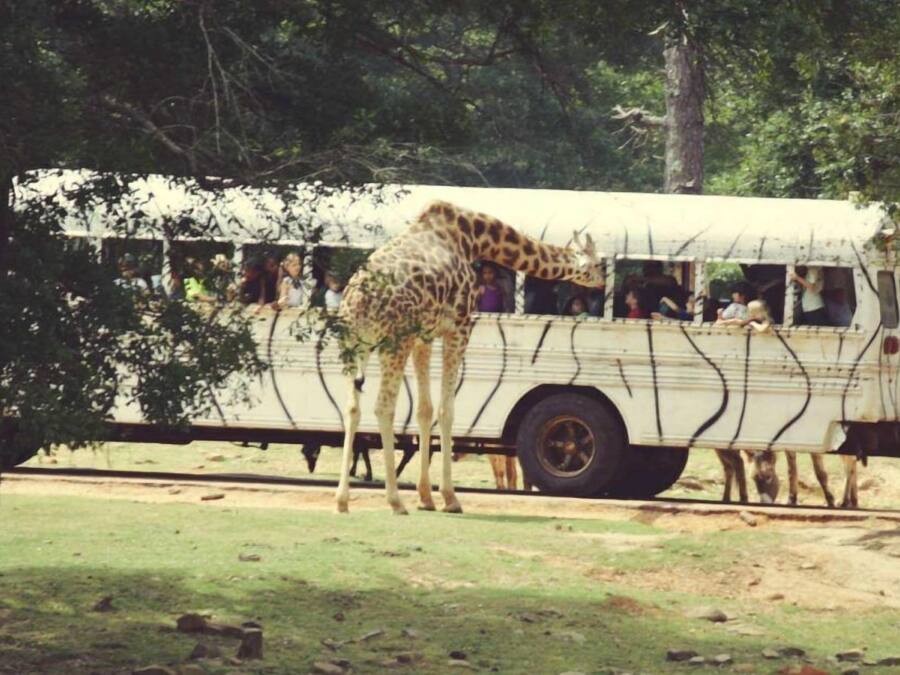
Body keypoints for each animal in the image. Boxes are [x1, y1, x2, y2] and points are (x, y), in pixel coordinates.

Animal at [334, 200, 604, 514]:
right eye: (598, 263)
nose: (601, 284)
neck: (474, 239)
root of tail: (357, 301)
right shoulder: (459, 327)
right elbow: (447, 411)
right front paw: (450, 498)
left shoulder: (424, 336)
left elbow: (424, 410)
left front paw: (426, 498)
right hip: (394, 342)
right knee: (383, 407)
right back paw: (395, 501)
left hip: (355, 346)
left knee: (352, 408)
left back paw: (342, 500)